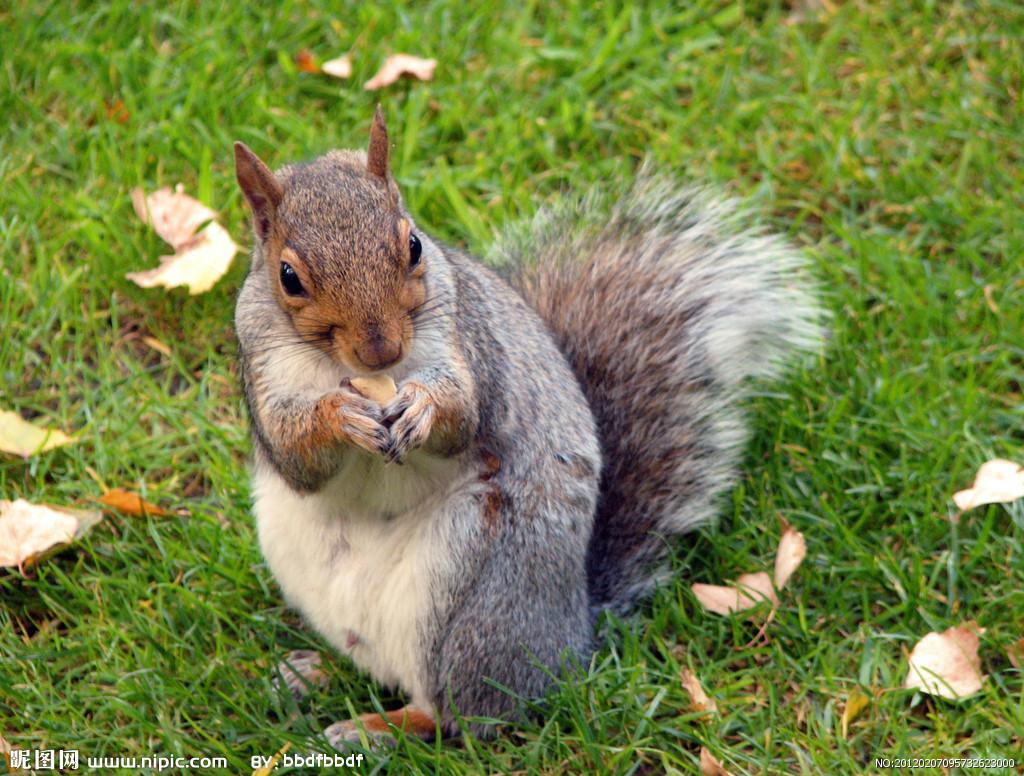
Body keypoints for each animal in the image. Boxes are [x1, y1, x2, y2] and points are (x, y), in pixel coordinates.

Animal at [232, 108, 823, 749]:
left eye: (414, 245)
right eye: (288, 277)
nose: (381, 350)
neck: (357, 373)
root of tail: (573, 635)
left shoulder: (469, 341)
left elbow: (463, 415)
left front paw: (422, 407)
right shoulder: (263, 374)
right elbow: (295, 456)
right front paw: (340, 415)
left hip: (477, 586)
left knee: (453, 712)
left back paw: (374, 727)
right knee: (372, 662)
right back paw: (310, 672)